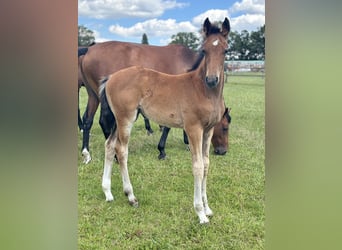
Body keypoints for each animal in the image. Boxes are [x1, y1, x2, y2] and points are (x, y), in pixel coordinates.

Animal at [100, 18, 231, 225]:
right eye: (204, 50)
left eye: (226, 50)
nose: (212, 79)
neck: (203, 90)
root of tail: (112, 76)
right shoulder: (193, 128)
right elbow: (197, 166)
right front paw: (200, 213)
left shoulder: (208, 130)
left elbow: (206, 164)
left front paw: (208, 209)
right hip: (125, 119)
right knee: (121, 150)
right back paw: (131, 196)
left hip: (117, 120)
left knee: (109, 145)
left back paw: (108, 192)